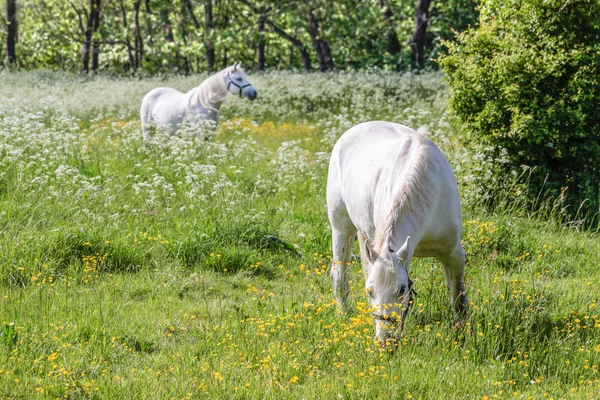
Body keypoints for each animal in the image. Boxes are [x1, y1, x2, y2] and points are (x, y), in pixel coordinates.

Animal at [326, 119, 466, 344]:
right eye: (370, 291)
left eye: (401, 290)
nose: (384, 341)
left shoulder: (453, 254)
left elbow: (458, 298)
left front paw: (463, 333)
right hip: (341, 228)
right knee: (340, 274)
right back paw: (342, 313)